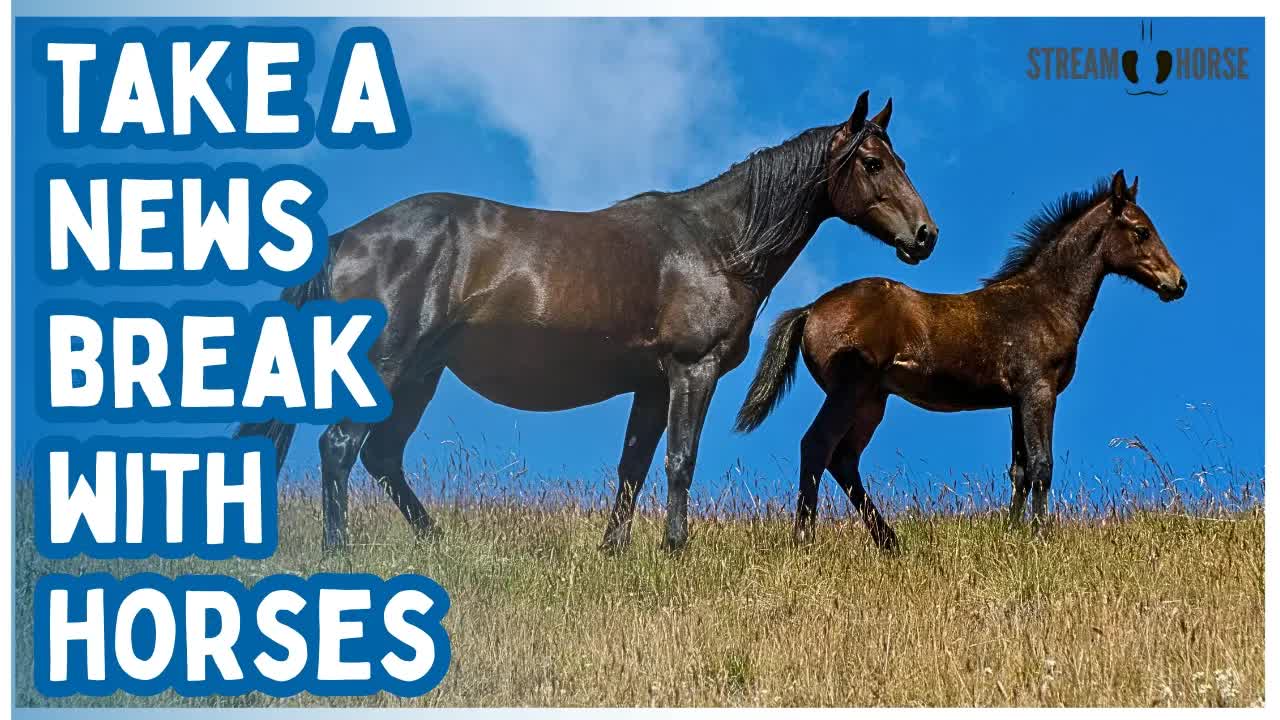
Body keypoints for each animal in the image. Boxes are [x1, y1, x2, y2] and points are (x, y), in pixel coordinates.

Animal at [236, 90, 940, 552]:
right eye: (873, 163)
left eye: (903, 162)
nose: (924, 236)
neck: (714, 243)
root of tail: (343, 240)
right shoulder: (692, 371)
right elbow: (680, 459)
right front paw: (675, 548)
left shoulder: (651, 384)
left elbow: (633, 466)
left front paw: (614, 550)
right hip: (388, 365)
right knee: (340, 447)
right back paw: (339, 551)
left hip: (421, 375)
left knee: (382, 456)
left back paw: (437, 542)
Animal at [734, 170, 1186, 550]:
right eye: (1142, 231)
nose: (1178, 282)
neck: (1043, 302)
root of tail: (811, 309)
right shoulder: (1039, 390)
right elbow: (1042, 465)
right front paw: (1042, 537)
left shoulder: (1016, 400)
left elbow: (1019, 470)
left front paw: (1012, 534)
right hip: (850, 390)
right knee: (817, 446)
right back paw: (805, 540)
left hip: (872, 401)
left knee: (844, 460)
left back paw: (890, 543)